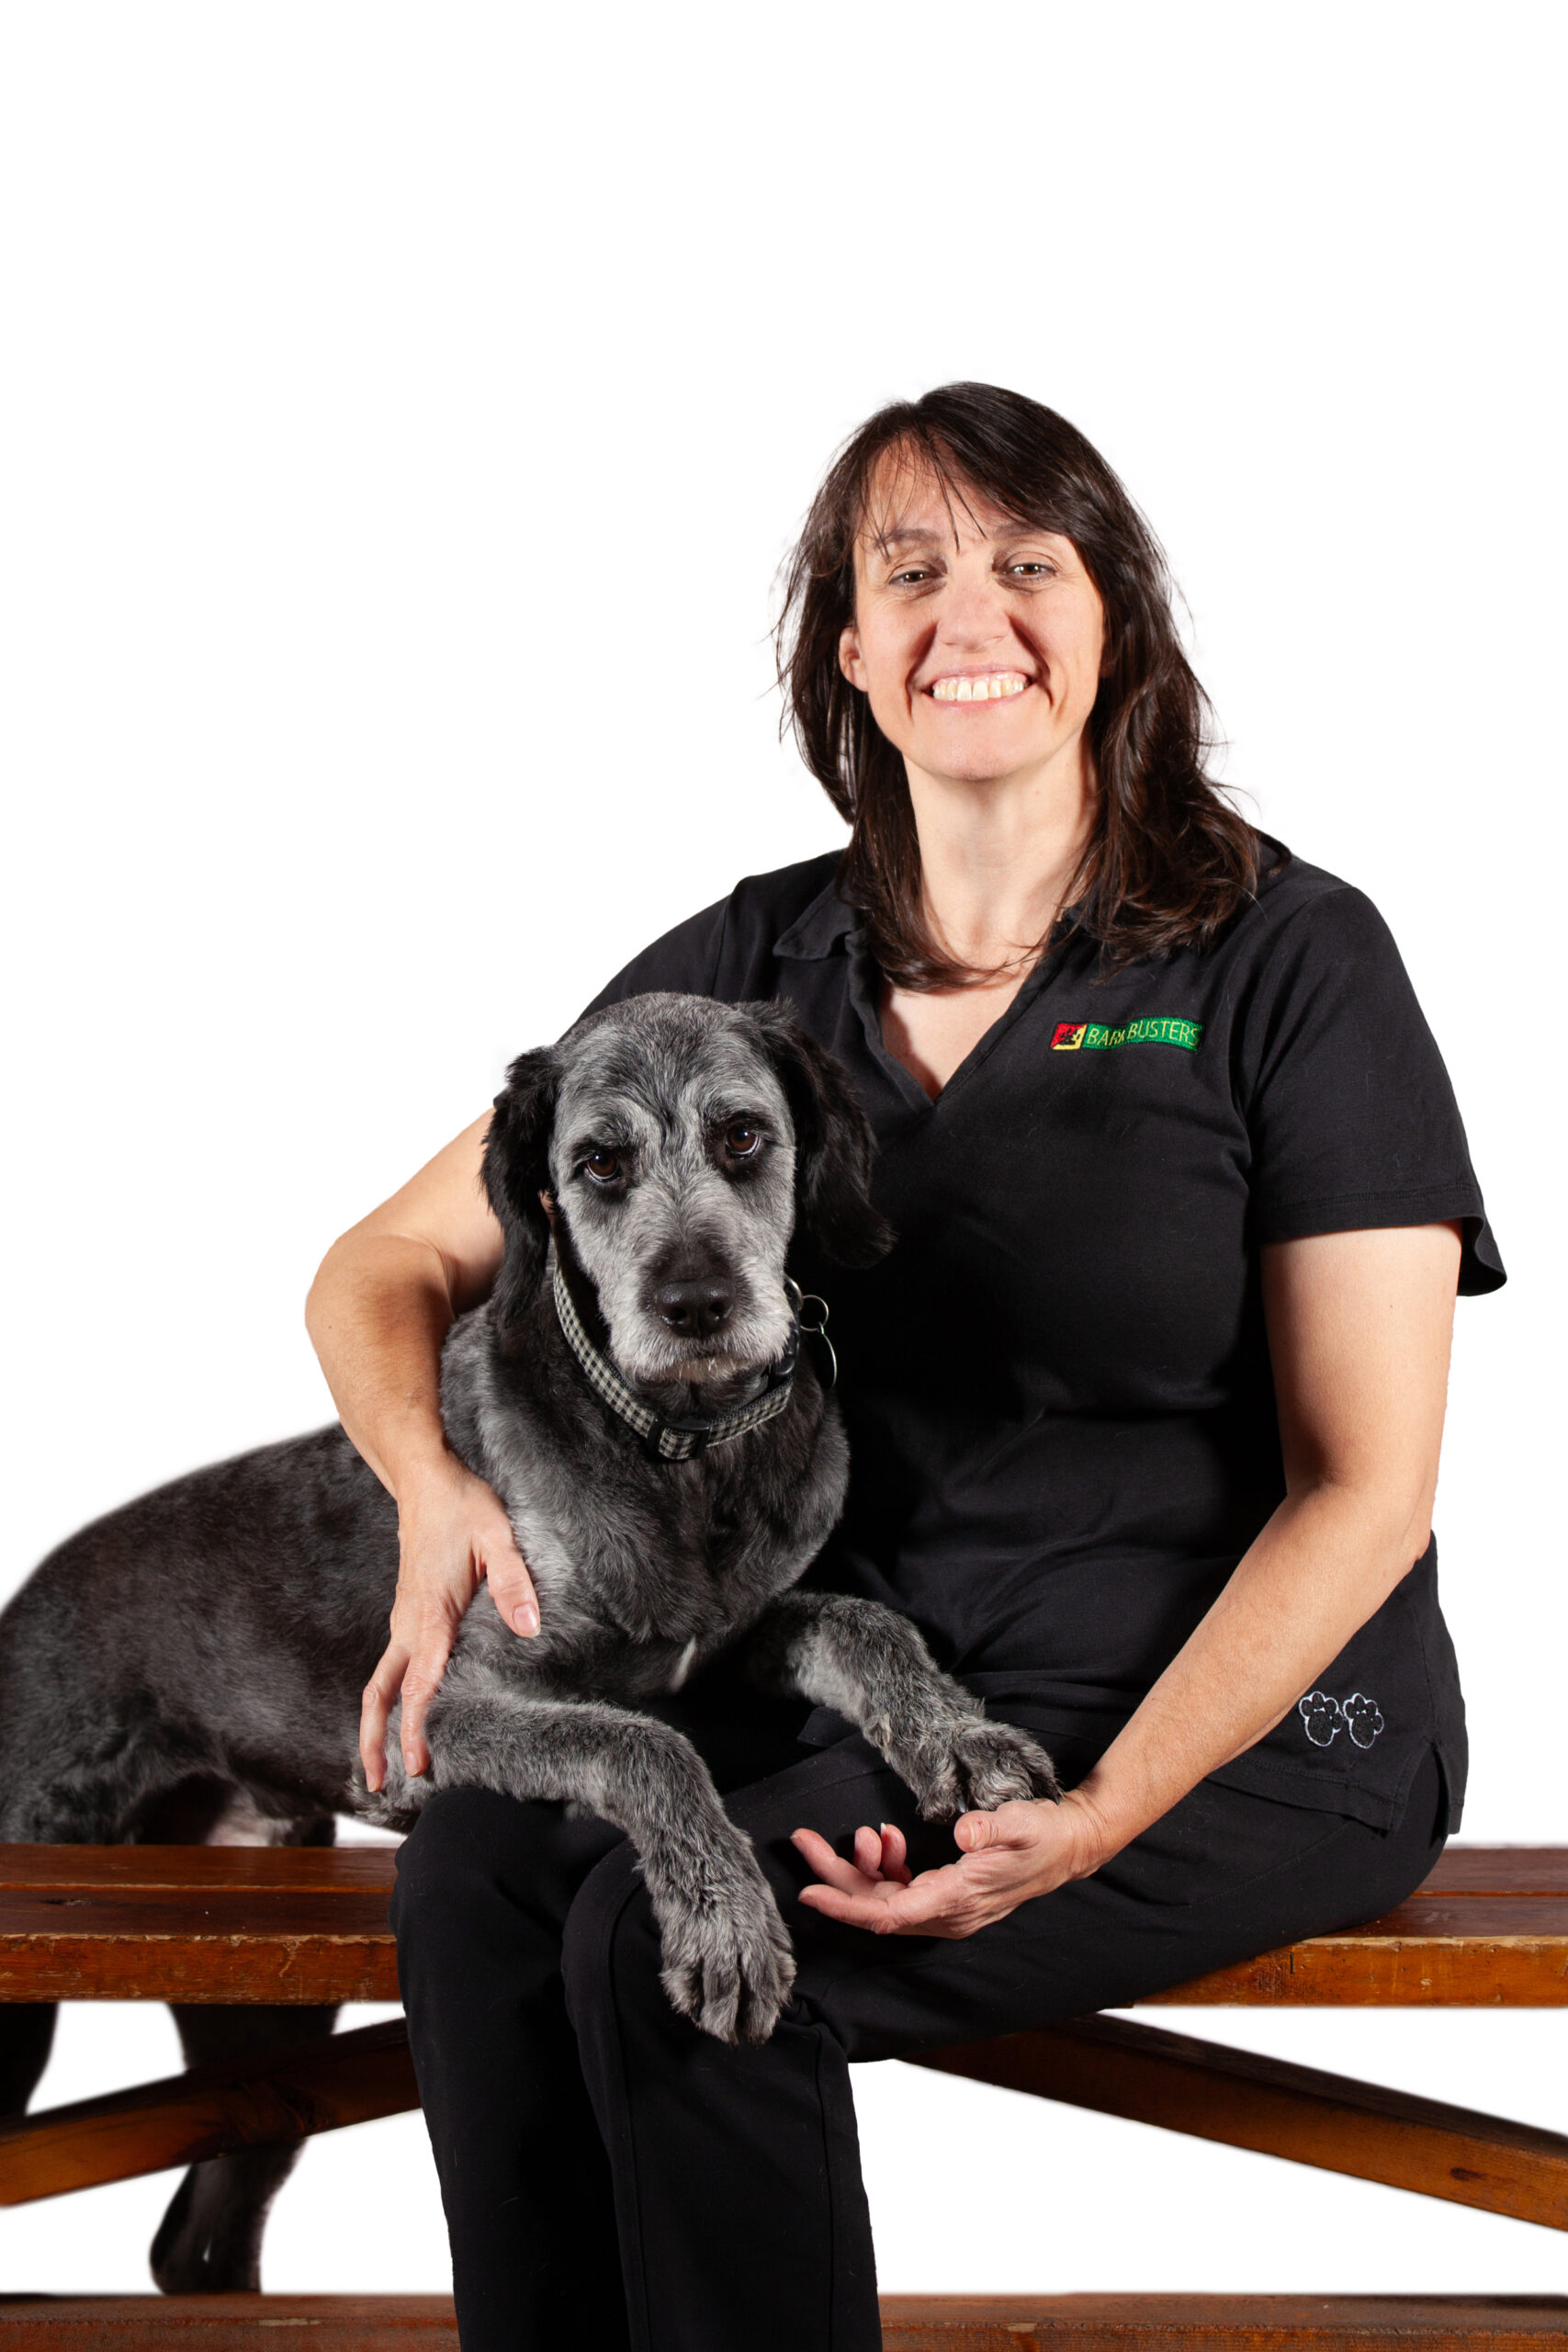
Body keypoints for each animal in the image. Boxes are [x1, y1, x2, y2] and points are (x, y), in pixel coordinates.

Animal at [0, 997, 1062, 2295]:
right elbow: (645, 1748)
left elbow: (864, 1623)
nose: (696, 1305)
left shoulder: (738, 1635)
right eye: (598, 1163)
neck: (677, 1447)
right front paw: (725, 1918)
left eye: (745, 1135)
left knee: (197, 2236)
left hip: (261, 2003)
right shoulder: (445, 1708)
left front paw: (962, 1738)